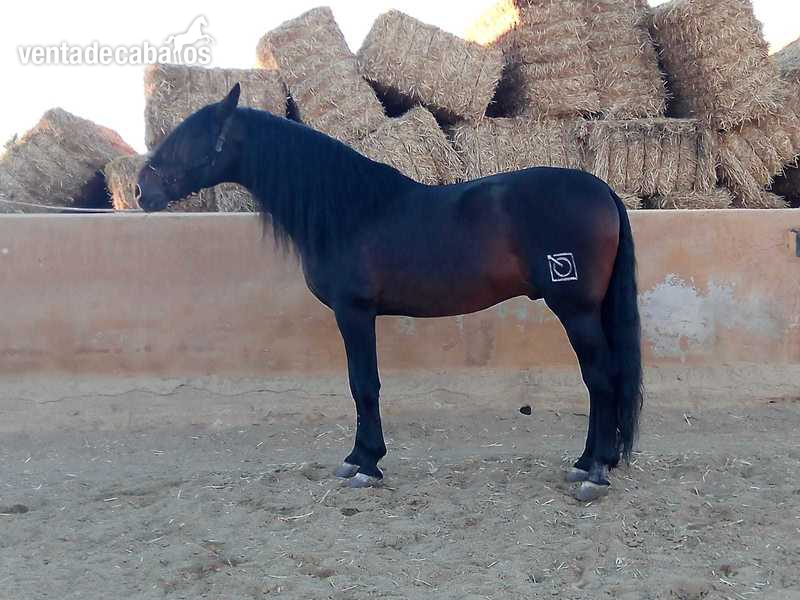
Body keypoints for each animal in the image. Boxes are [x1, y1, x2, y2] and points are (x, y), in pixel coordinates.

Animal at [136, 84, 643, 501]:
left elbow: (363, 385)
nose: (141, 190)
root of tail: (602, 190)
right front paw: (361, 459)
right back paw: (587, 462)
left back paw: (595, 473)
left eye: (185, 138)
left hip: (575, 309)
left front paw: (364, 463)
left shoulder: (354, 312)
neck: (349, 211)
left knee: (601, 377)